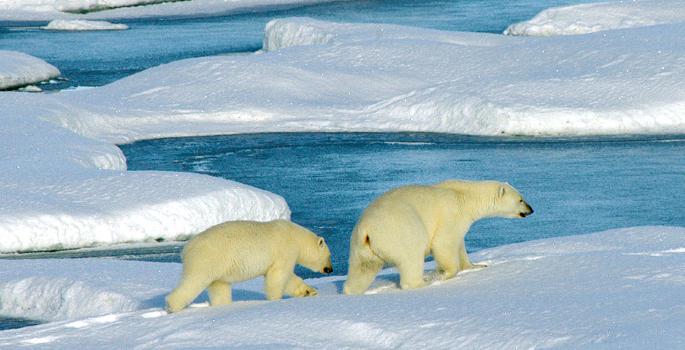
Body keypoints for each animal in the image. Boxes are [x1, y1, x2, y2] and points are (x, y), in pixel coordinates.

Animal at [166, 220, 332, 314]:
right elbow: (278, 275)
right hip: (208, 259)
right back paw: (171, 307)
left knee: (219, 287)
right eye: (329, 256)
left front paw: (309, 291)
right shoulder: (284, 250)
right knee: (194, 281)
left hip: (219, 266)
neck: (296, 236)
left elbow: (288, 278)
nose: (330, 269)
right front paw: (275, 300)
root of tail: (186, 248)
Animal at [344, 180, 532, 296]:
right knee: (412, 258)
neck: (464, 196)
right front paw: (444, 274)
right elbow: (444, 243)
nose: (531, 209)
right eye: (521, 199)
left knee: (362, 270)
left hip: (361, 248)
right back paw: (423, 283)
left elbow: (460, 244)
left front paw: (476, 265)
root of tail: (367, 229)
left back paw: (351, 291)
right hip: (401, 231)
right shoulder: (451, 215)